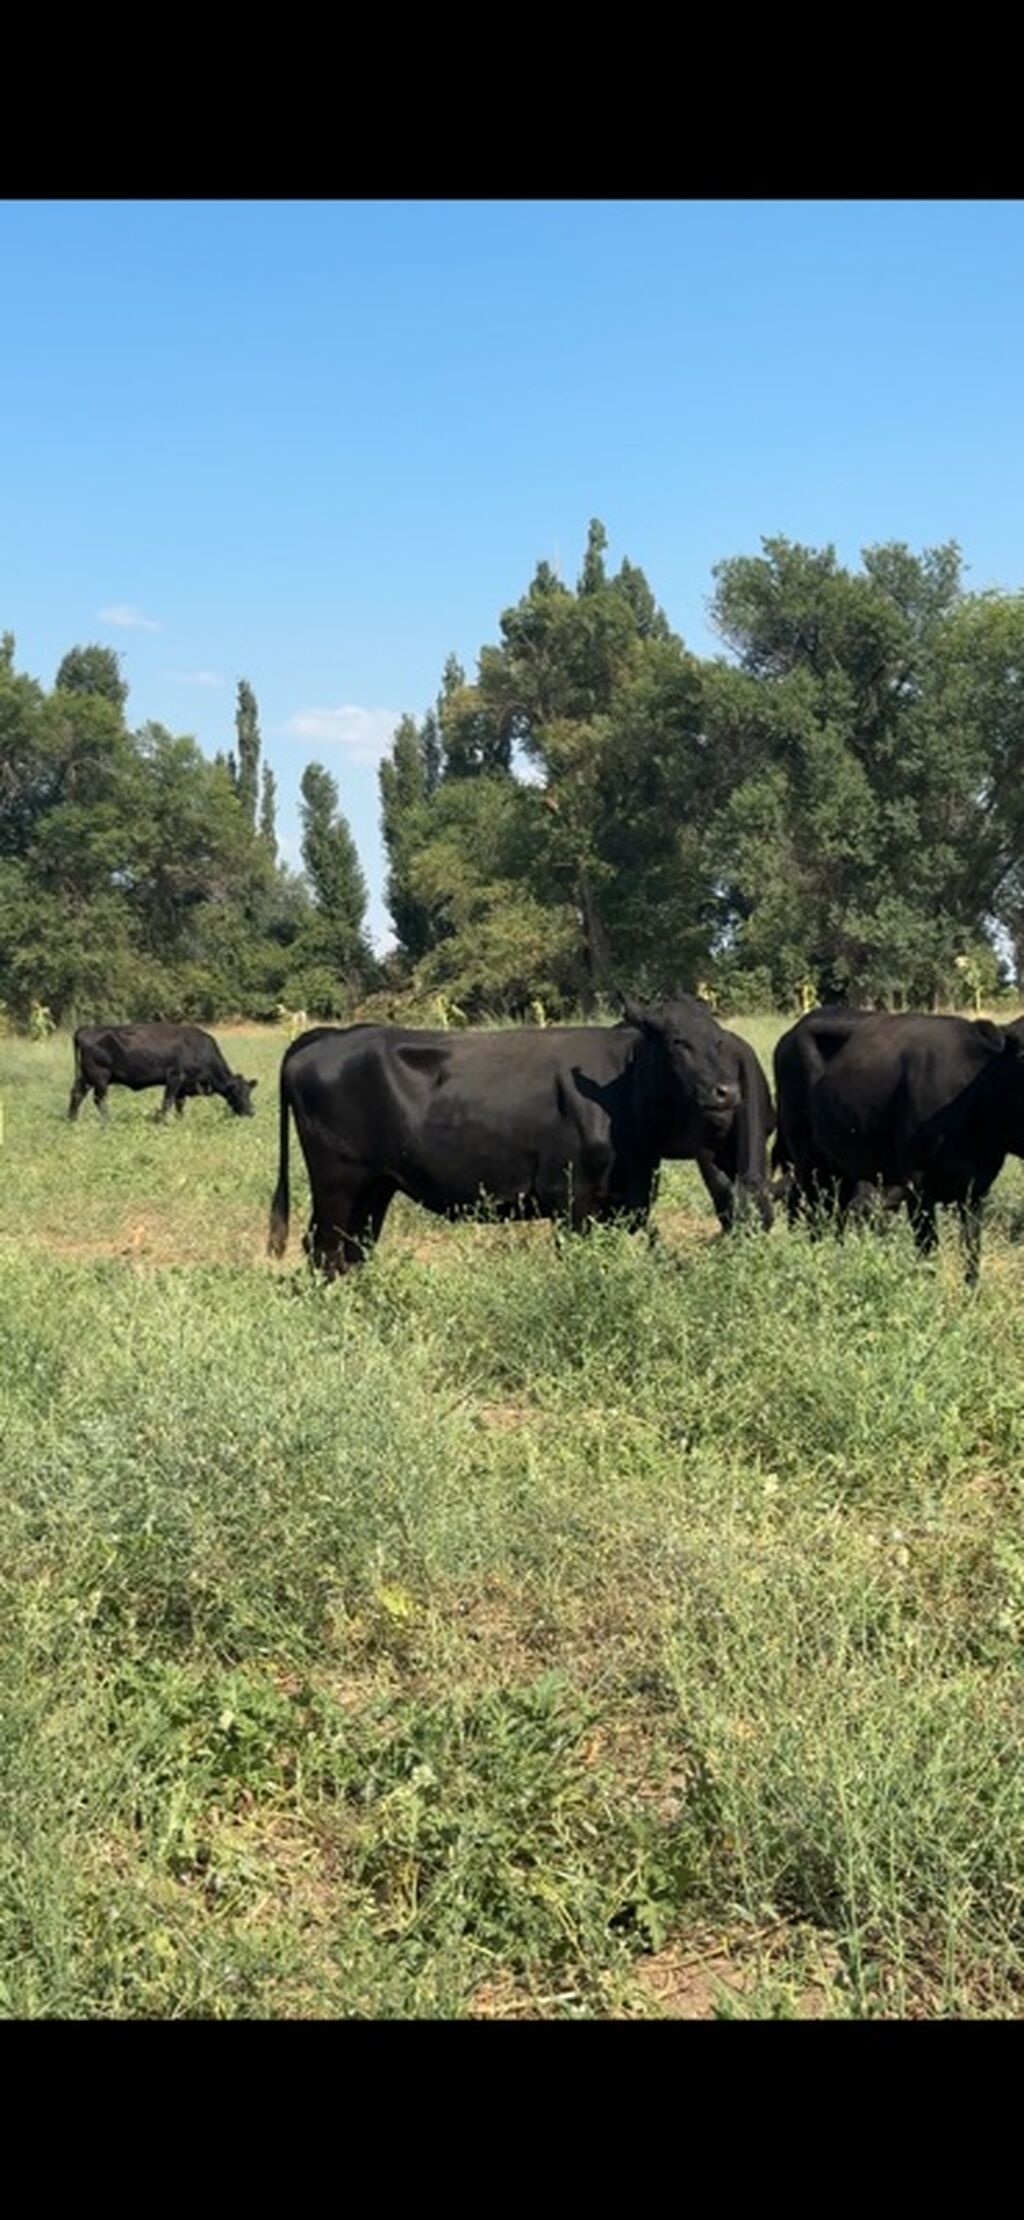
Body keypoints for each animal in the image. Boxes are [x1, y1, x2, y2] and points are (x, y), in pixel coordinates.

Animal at [68, 1023, 258, 1123]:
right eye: (237, 1092)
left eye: (249, 1092)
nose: (251, 1112)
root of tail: (85, 1029)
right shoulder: (174, 1077)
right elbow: (167, 1102)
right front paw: (160, 1122)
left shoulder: (183, 1087)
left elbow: (179, 1105)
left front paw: (180, 1121)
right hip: (100, 1077)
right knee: (99, 1099)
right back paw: (108, 1121)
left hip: (85, 1077)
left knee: (76, 1094)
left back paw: (72, 1119)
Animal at [267, 996, 774, 1277]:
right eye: (677, 1042)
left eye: (718, 1040)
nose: (727, 1091)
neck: (618, 1093)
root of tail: (325, 1038)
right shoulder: (571, 1200)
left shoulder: (616, 1201)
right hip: (337, 1180)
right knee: (325, 1250)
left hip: (375, 1186)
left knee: (352, 1248)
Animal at [773, 1005, 1024, 1281]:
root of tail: (792, 1031)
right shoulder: (917, 1187)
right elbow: (928, 1250)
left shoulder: (976, 1190)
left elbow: (972, 1253)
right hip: (808, 1163)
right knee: (813, 1217)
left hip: (841, 1168)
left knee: (835, 1217)